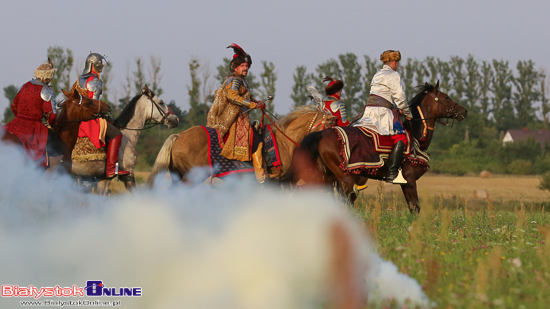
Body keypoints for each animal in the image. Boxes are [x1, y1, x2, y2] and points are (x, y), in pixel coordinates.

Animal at [294, 82, 470, 212]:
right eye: (446, 97)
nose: (464, 111)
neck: (416, 136)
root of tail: (322, 134)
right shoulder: (410, 181)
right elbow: (415, 208)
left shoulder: (406, 184)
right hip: (345, 178)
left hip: (324, 177)